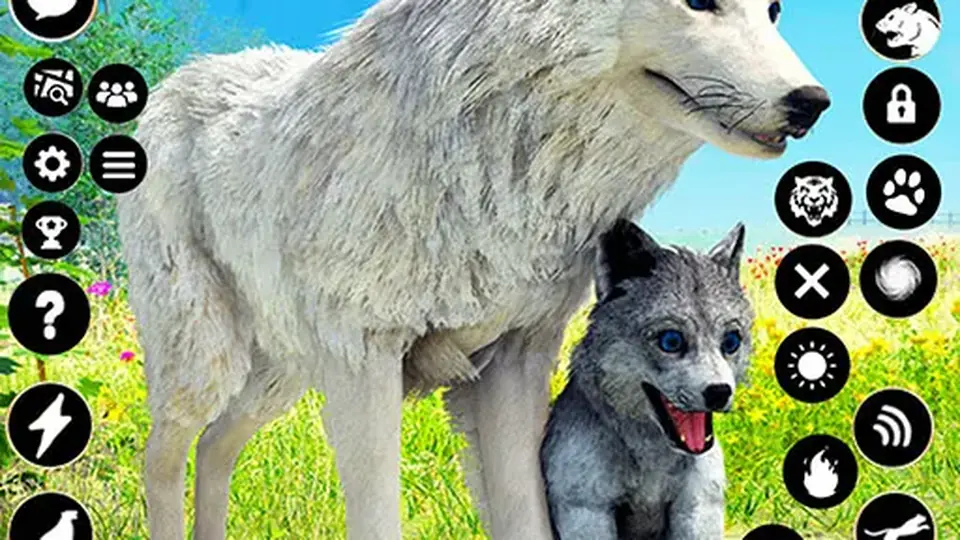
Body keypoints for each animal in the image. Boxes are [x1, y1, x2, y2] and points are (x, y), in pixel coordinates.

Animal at [540, 220, 752, 539]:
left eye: (731, 341)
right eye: (671, 340)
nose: (719, 392)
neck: (652, 461)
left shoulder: (697, 506)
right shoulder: (586, 509)